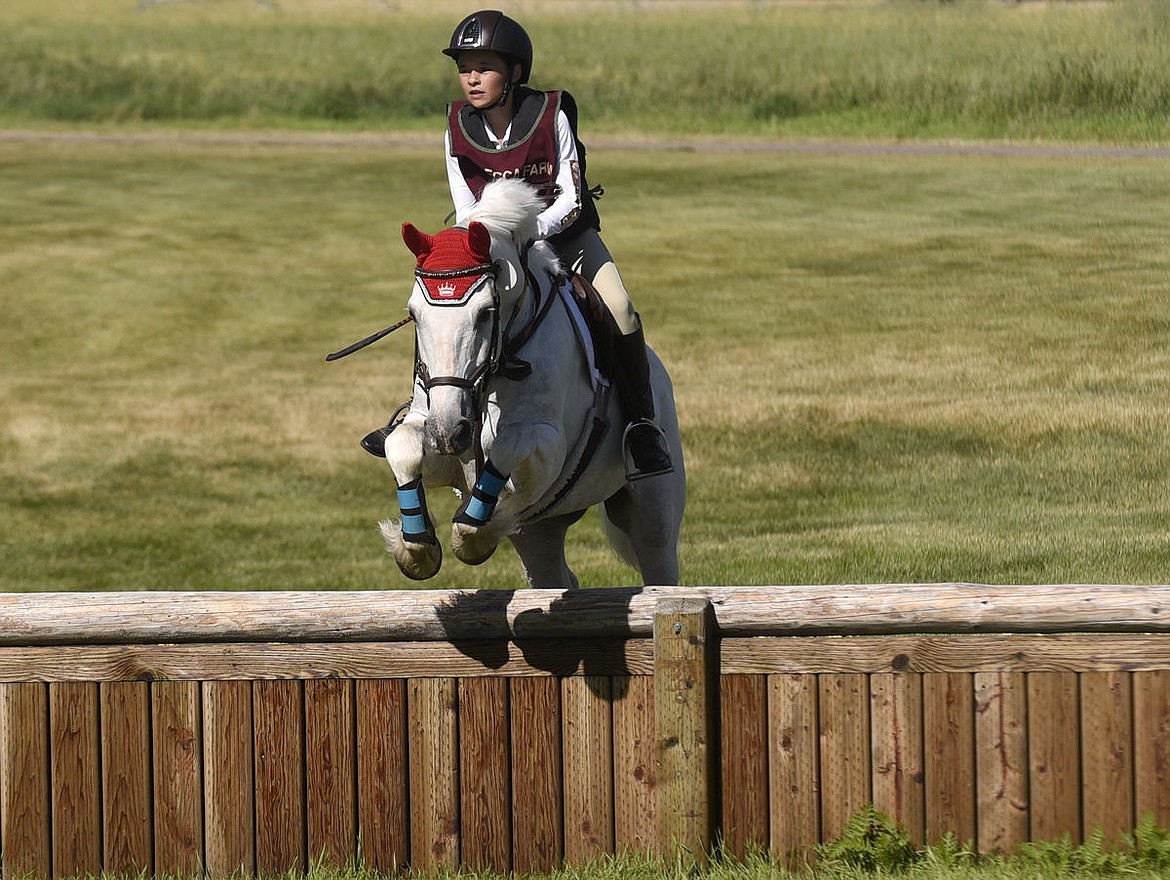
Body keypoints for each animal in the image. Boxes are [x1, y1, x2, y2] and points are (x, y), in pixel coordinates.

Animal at [374, 176, 683, 592]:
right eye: (414, 314)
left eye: (486, 312)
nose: (448, 433)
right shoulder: (437, 433)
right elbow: (402, 446)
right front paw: (416, 549)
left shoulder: (548, 449)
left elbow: (508, 446)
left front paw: (472, 535)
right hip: (542, 532)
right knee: (555, 572)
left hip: (652, 511)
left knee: (658, 559)